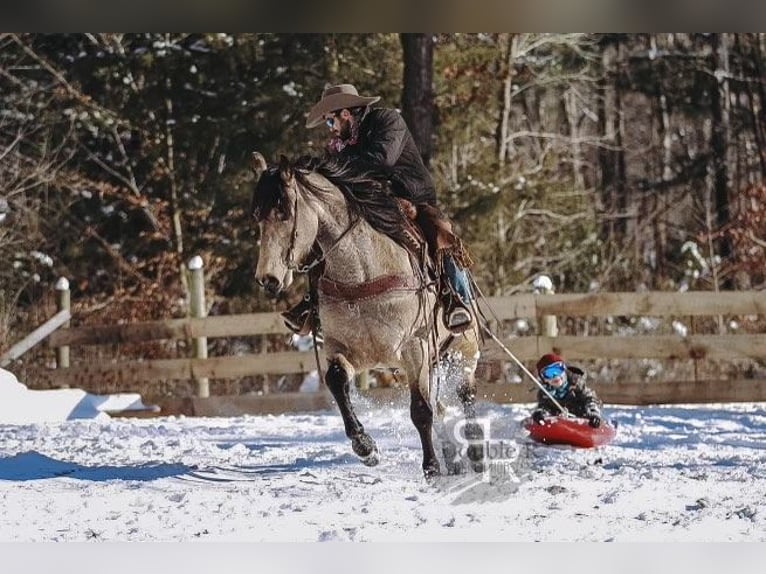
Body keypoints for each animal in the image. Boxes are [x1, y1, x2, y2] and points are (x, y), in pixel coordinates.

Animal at [249, 154, 484, 482]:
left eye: (284, 212)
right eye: (257, 215)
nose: (267, 279)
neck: (361, 273)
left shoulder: (415, 348)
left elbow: (421, 411)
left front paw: (431, 468)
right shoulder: (346, 349)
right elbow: (336, 381)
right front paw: (365, 446)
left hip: (463, 353)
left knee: (466, 399)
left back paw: (475, 457)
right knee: (441, 407)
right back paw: (455, 462)